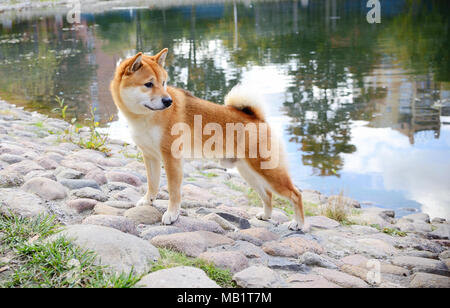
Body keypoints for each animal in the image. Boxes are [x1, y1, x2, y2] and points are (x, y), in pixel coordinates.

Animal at [110, 48, 306, 231]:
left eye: (163, 83)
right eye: (149, 84)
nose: (168, 101)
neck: (146, 117)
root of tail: (257, 119)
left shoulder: (171, 159)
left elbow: (173, 191)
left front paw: (172, 214)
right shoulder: (150, 156)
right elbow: (152, 183)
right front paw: (147, 201)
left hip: (268, 172)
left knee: (295, 194)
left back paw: (298, 224)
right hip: (249, 172)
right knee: (268, 195)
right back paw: (265, 216)